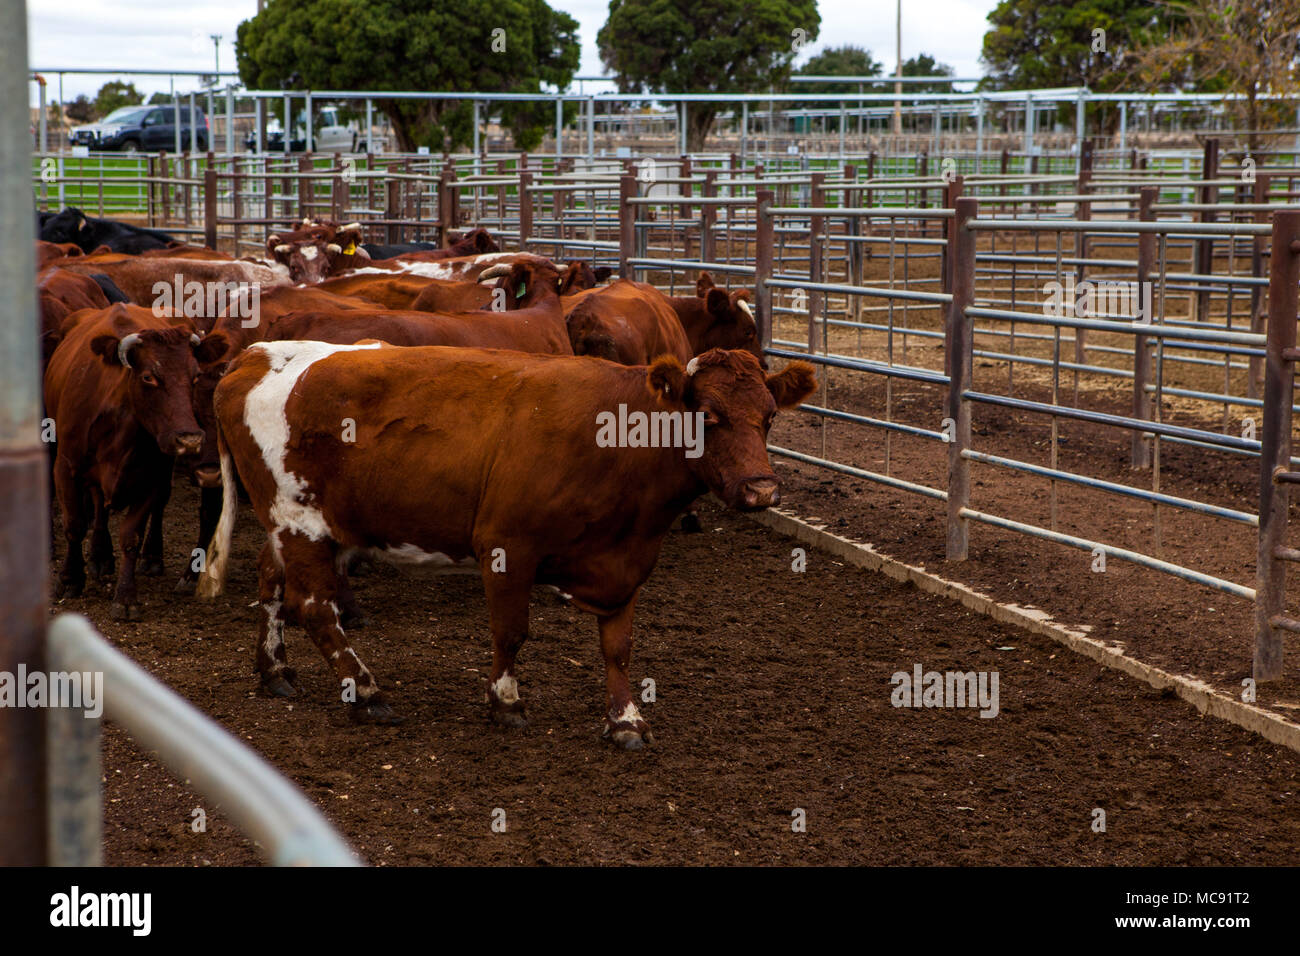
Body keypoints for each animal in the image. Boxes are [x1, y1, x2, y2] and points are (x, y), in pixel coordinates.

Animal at [44, 304, 228, 621]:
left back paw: (143, 557)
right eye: (148, 377)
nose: (189, 439)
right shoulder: (66, 467)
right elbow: (74, 524)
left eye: (194, 377)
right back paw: (100, 557)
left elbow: (131, 536)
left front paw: (126, 597)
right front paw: (70, 579)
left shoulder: (150, 477)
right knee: (97, 505)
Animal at [198, 343, 816, 749]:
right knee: (314, 608)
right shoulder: (506, 544)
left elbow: (618, 646)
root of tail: (254, 355)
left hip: (298, 525)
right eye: (708, 416)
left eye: (769, 417)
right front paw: (506, 702)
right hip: (299, 521)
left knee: (271, 585)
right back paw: (368, 694)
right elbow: (511, 632)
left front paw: (625, 721)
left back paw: (275, 671)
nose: (762, 490)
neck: (616, 437)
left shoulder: (625, 561)